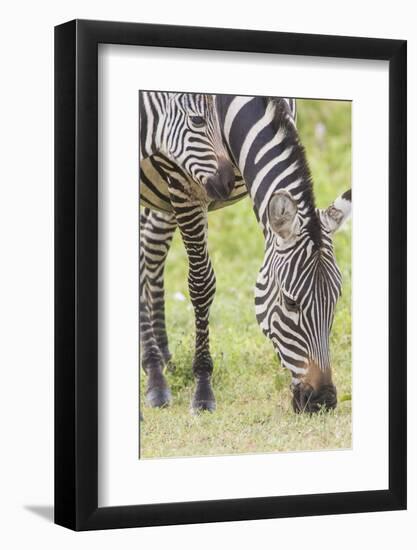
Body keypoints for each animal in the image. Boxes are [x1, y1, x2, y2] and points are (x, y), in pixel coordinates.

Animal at [140, 94, 352, 414]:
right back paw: (154, 373)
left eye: (336, 298)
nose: (322, 400)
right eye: (290, 302)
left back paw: (163, 357)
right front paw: (203, 388)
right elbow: (201, 283)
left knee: (152, 248)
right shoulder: (184, 185)